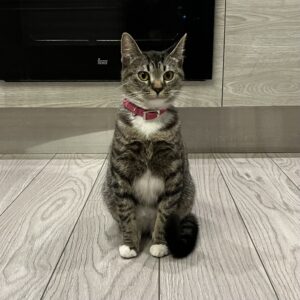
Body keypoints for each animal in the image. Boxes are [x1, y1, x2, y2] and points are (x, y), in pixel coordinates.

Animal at [102, 32, 198, 258]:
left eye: (168, 75)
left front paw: (160, 243)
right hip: (107, 192)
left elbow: (165, 213)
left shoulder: (173, 169)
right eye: (143, 75)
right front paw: (129, 244)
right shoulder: (121, 169)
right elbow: (126, 212)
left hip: (188, 191)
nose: (157, 87)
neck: (149, 119)